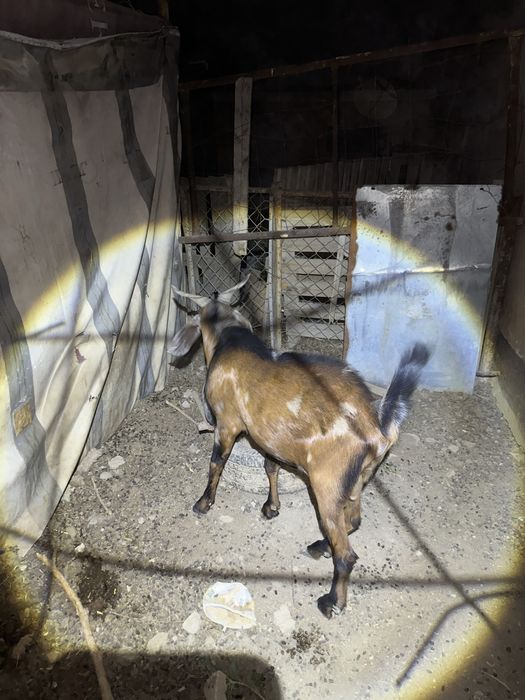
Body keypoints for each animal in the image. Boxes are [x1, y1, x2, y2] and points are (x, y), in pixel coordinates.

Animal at [169, 279, 430, 618]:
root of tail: (380, 425)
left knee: (347, 554)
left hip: (327, 484)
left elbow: (217, 462)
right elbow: (269, 466)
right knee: (354, 521)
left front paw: (203, 503)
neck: (231, 342)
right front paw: (271, 507)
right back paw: (320, 546)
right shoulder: (265, 434)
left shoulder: (226, 423)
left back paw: (331, 601)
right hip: (356, 480)